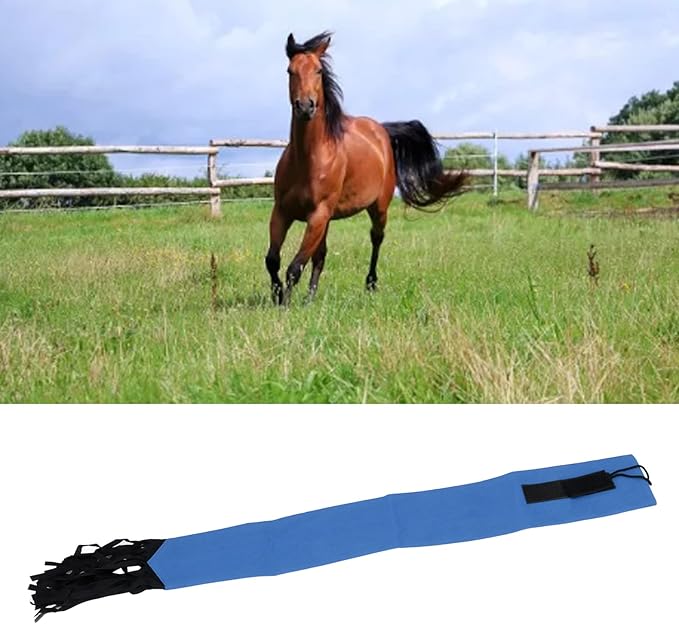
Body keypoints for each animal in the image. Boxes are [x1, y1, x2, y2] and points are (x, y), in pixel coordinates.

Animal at [265, 31, 467, 305]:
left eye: (318, 70)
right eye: (290, 71)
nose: (305, 106)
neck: (308, 158)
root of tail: (381, 130)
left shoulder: (318, 215)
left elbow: (294, 267)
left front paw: (284, 305)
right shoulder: (283, 212)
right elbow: (273, 260)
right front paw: (278, 297)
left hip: (378, 207)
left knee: (376, 238)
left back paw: (371, 284)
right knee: (321, 256)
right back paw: (310, 298)